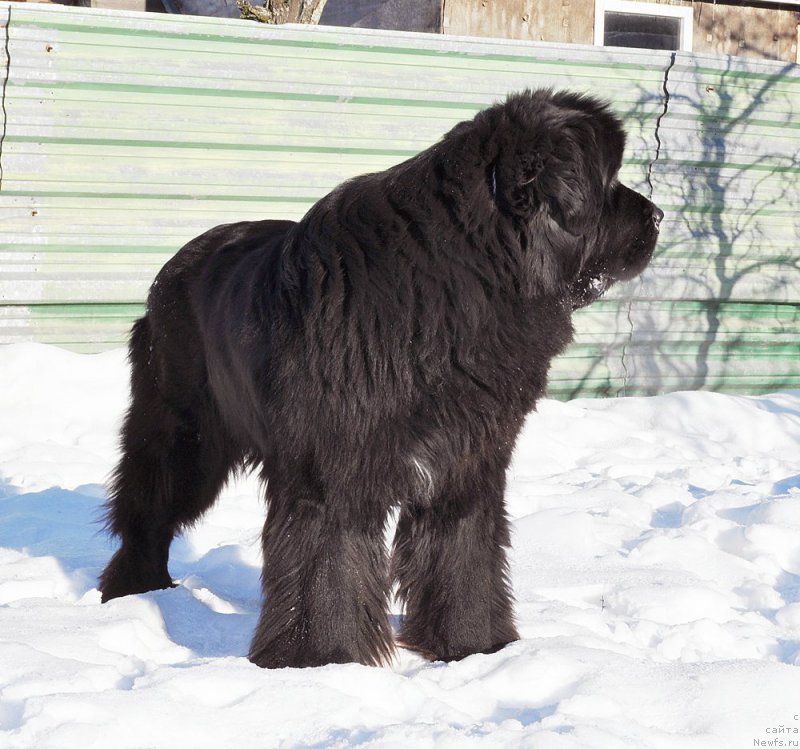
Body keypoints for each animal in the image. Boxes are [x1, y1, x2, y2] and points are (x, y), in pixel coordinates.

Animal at [100, 87, 664, 668]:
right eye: (607, 180)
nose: (659, 214)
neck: (462, 277)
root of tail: (173, 265)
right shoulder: (332, 469)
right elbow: (326, 564)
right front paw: (320, 658)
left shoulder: (467, 460)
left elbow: (465, 551)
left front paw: (474, 646)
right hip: (184, 431)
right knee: (147, 504)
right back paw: (132, 588)